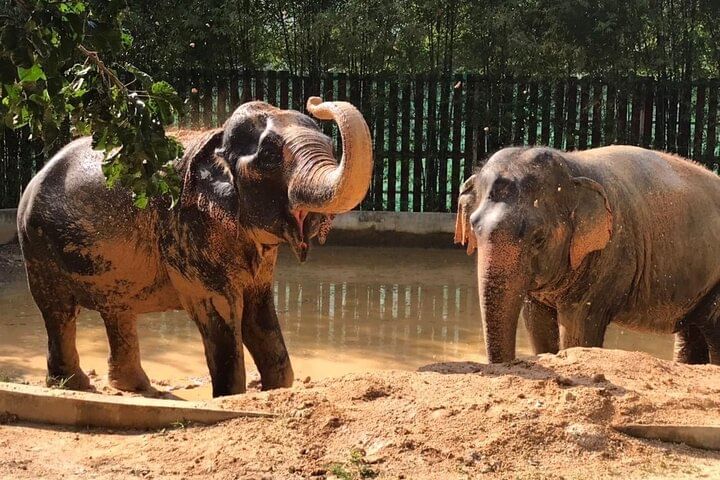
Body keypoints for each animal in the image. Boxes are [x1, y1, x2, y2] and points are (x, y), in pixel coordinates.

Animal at [17, 97, 373, 397]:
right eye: (270, 157)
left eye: (331, 146)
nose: (316, 101)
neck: (216, 139)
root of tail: (36, 175)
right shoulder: (186, 229)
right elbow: (221, 310)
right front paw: (229, 397)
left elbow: (259, 312)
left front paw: (275, 389)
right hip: (37, 246)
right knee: (59, 309)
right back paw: (73, 386)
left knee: (117, 308)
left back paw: (135, 388)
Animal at [454, 145, 720, 365]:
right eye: (474, 228)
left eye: (539, 238)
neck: (572, 165)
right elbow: (536, 322)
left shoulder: (610, 256)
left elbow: (578, 328)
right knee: (692, 331)